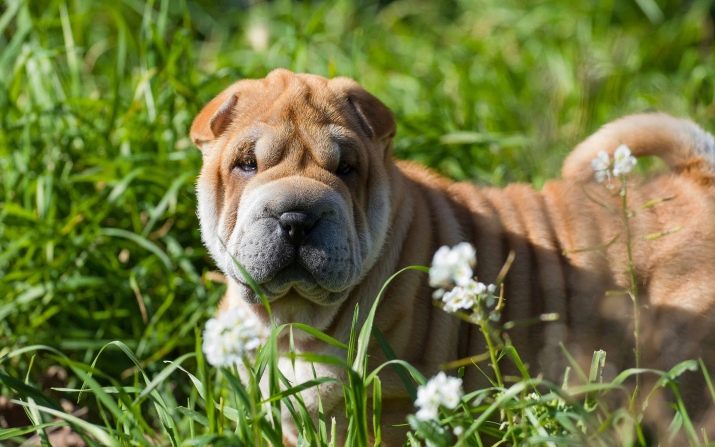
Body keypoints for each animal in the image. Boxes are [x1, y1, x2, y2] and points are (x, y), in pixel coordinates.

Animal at [190, 69, 715, 444]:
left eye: (347, 169)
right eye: (246, 164)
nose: (297, 217)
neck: (295, 321)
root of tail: (698, 180)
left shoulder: (391, 406)